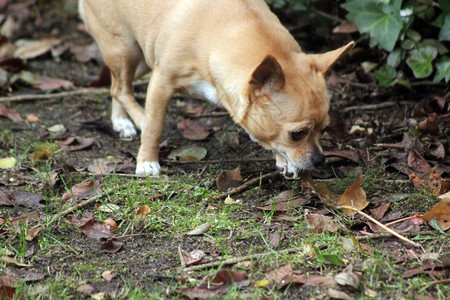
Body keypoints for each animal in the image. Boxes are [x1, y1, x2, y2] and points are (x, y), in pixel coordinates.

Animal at [79, 0, 354, 178]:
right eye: (297, 134)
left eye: (325, 129)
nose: (320, 159)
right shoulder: (161, 82)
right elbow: (155, 127)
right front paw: (147, 161)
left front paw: (283, 160)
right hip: (124, 49)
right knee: (121, 89)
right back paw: (136, 121)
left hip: (141, 58)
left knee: (115, 85)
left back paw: (120, 121)